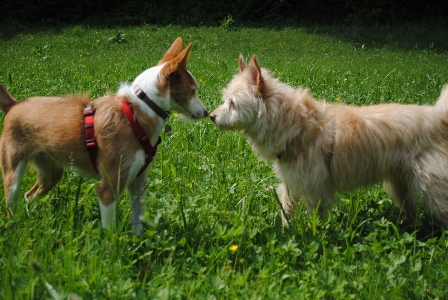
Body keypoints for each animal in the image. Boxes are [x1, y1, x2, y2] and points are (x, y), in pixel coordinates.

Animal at [0, 37, 209, 234]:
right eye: (193, 91)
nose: (207, 113)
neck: (137, 110)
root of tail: (15, 104)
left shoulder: (138, 184)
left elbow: (138, 223)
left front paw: (138, 243)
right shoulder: (108, 189)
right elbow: (111, 232)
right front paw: (113, 246)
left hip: (51, 173)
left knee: (29, 196)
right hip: (13, 175)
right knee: (13, 203)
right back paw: (15, 226)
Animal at [212, 54, 448, 227]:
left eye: (232, 104)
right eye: (226, 100)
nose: (212, 116)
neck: (298, 124)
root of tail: (437, 117)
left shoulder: (315, 189)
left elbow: (314, 217)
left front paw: (311, 235)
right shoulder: (292, 181)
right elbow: (287, 208)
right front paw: (286, 231)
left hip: (431, 185)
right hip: (399, 181)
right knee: (410, 209)